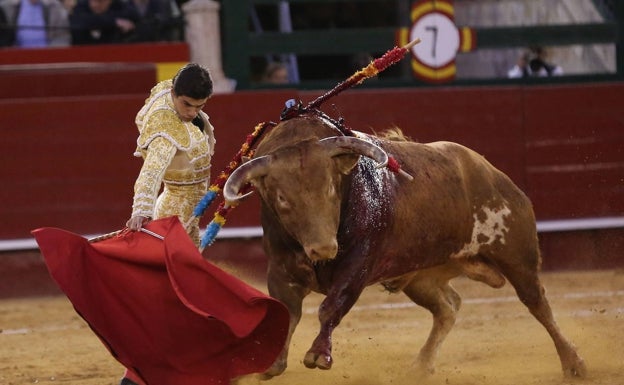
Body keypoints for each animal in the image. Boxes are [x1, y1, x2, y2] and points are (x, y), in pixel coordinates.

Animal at [222, 110, 588, 378]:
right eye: (282, 198)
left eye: (331, 187)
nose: (323, 249)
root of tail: (496, 176)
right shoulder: (280, 270)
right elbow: (286, 311)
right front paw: (269, 364)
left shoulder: (358, 266)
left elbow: (331, 306)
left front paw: (318, 354)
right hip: (421, 277)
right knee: (448, 307)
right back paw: (421, 366)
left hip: (516, 256)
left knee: (537, 304)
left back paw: (573, 364)